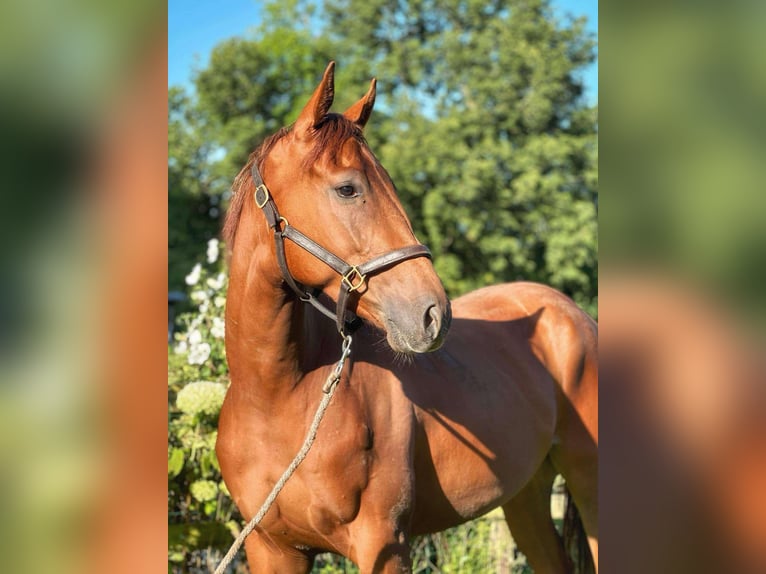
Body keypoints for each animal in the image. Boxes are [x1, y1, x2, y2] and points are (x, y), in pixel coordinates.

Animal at [216, 63, 600, 574]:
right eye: (347, 188)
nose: (433, 314)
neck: (279, 398)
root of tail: (573, 314)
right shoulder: (272, 548)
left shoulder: (386, 544)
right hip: (526, 496)